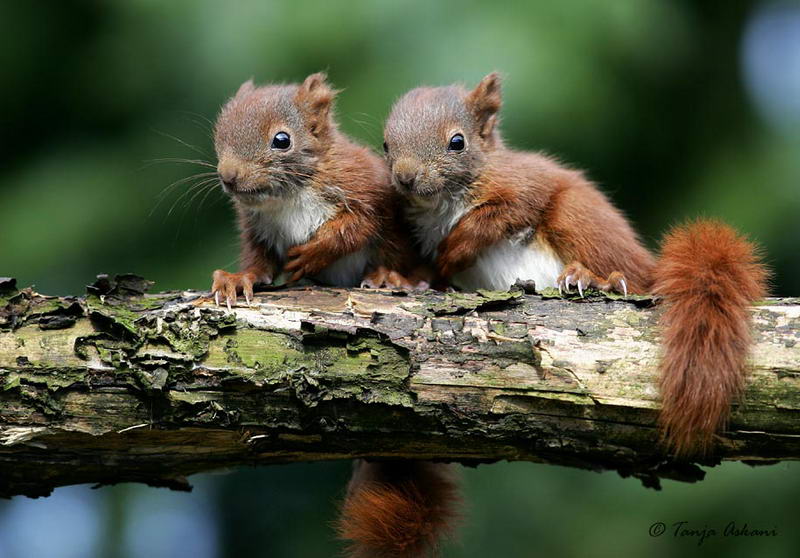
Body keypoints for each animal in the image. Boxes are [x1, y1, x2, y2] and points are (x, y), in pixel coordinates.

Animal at [209, 72, 412, 306]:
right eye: (219, 134)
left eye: (282, 140)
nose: (228, 176)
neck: (290, 196)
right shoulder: (259, 229)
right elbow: (260, 263)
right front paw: (238, 278)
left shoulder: (367, 188)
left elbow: (359, 225)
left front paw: (315, 253)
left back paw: (387, 277)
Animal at [338, 72, 768, 556]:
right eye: (386, 144)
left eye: (457, 142)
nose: (406, 177)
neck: (442, 204)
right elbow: (428, 267)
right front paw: (399, 279)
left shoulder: (525, 183)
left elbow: (504, 212)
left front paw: (459, 244)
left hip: (579, 218)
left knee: (625, 272)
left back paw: (597, 278)